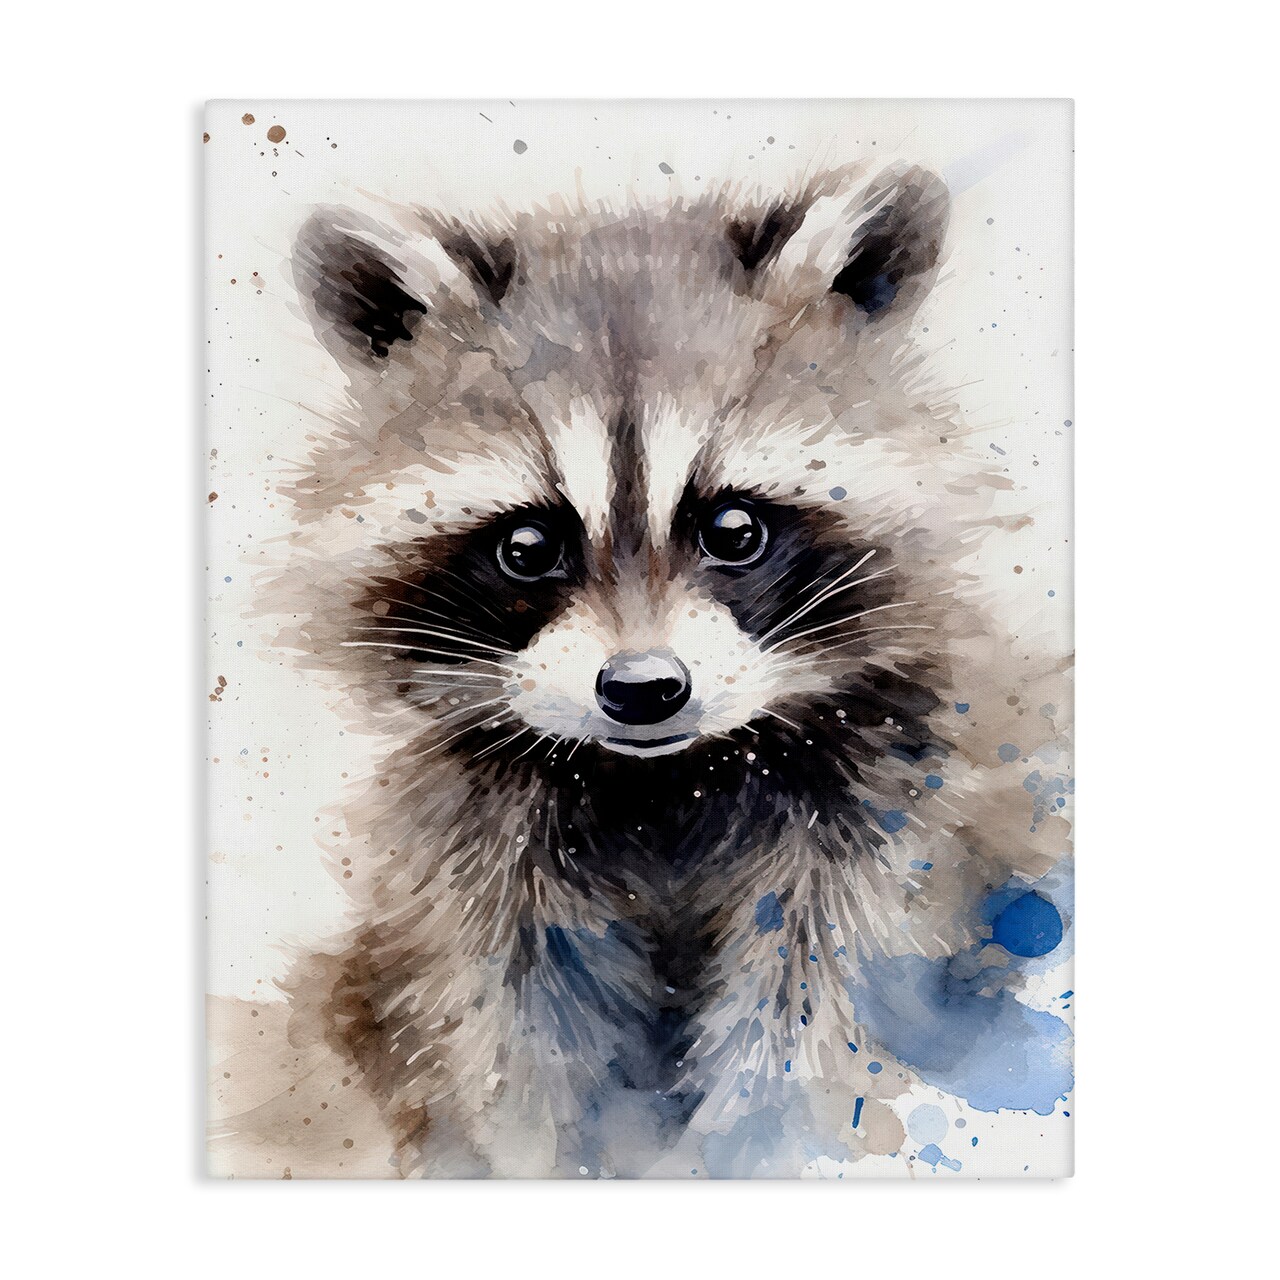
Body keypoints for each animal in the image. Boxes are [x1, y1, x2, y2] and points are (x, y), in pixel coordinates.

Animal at [213, 163, 1072, 1178]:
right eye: (527, 546)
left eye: (734, 527)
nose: (643, 690)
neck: (662, 784)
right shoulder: (478, 859)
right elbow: (513, 1037)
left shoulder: (893, 802)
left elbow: (818, 1011)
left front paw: (758, 1142)